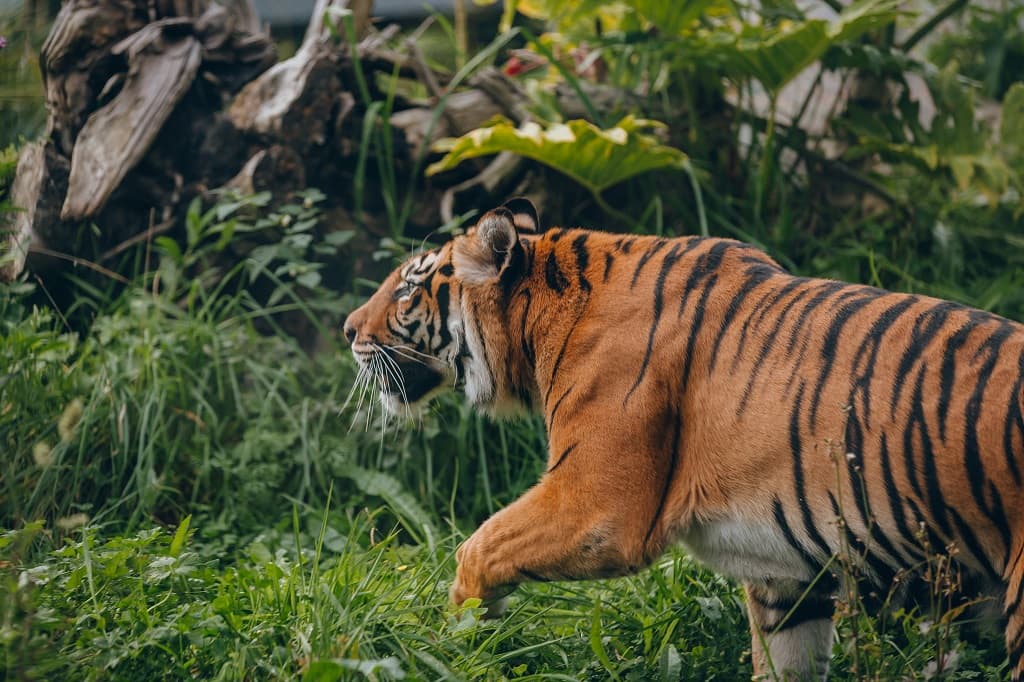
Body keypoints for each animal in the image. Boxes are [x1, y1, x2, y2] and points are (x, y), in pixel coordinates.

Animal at [344, 197, 1024, 679]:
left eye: (407, 288)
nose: (348, 328)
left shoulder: (597, 508)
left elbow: (479, 545)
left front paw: (460, 633)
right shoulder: (788, 574)